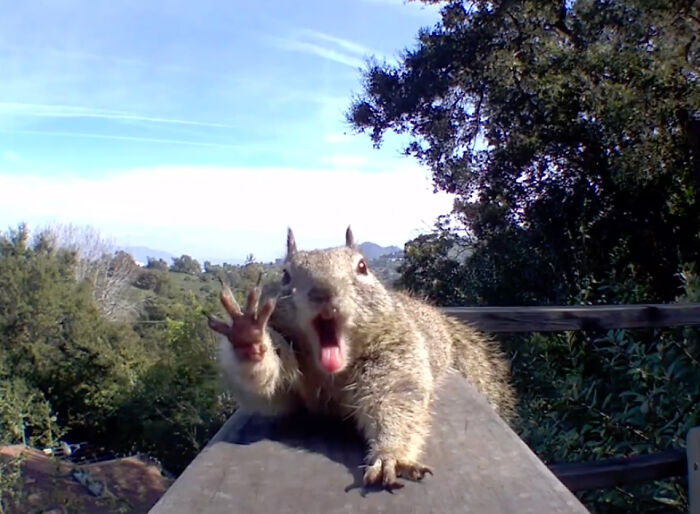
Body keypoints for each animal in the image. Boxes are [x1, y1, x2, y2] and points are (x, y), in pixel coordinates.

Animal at [208, 226, 516, 486]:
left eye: (362, 267)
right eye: (284, 275)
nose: (324, 292)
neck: (331, 374)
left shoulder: (396, 352)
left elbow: (395, 400)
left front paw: (392, 455)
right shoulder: (289, 384)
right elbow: (270, 392)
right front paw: (249, 337)